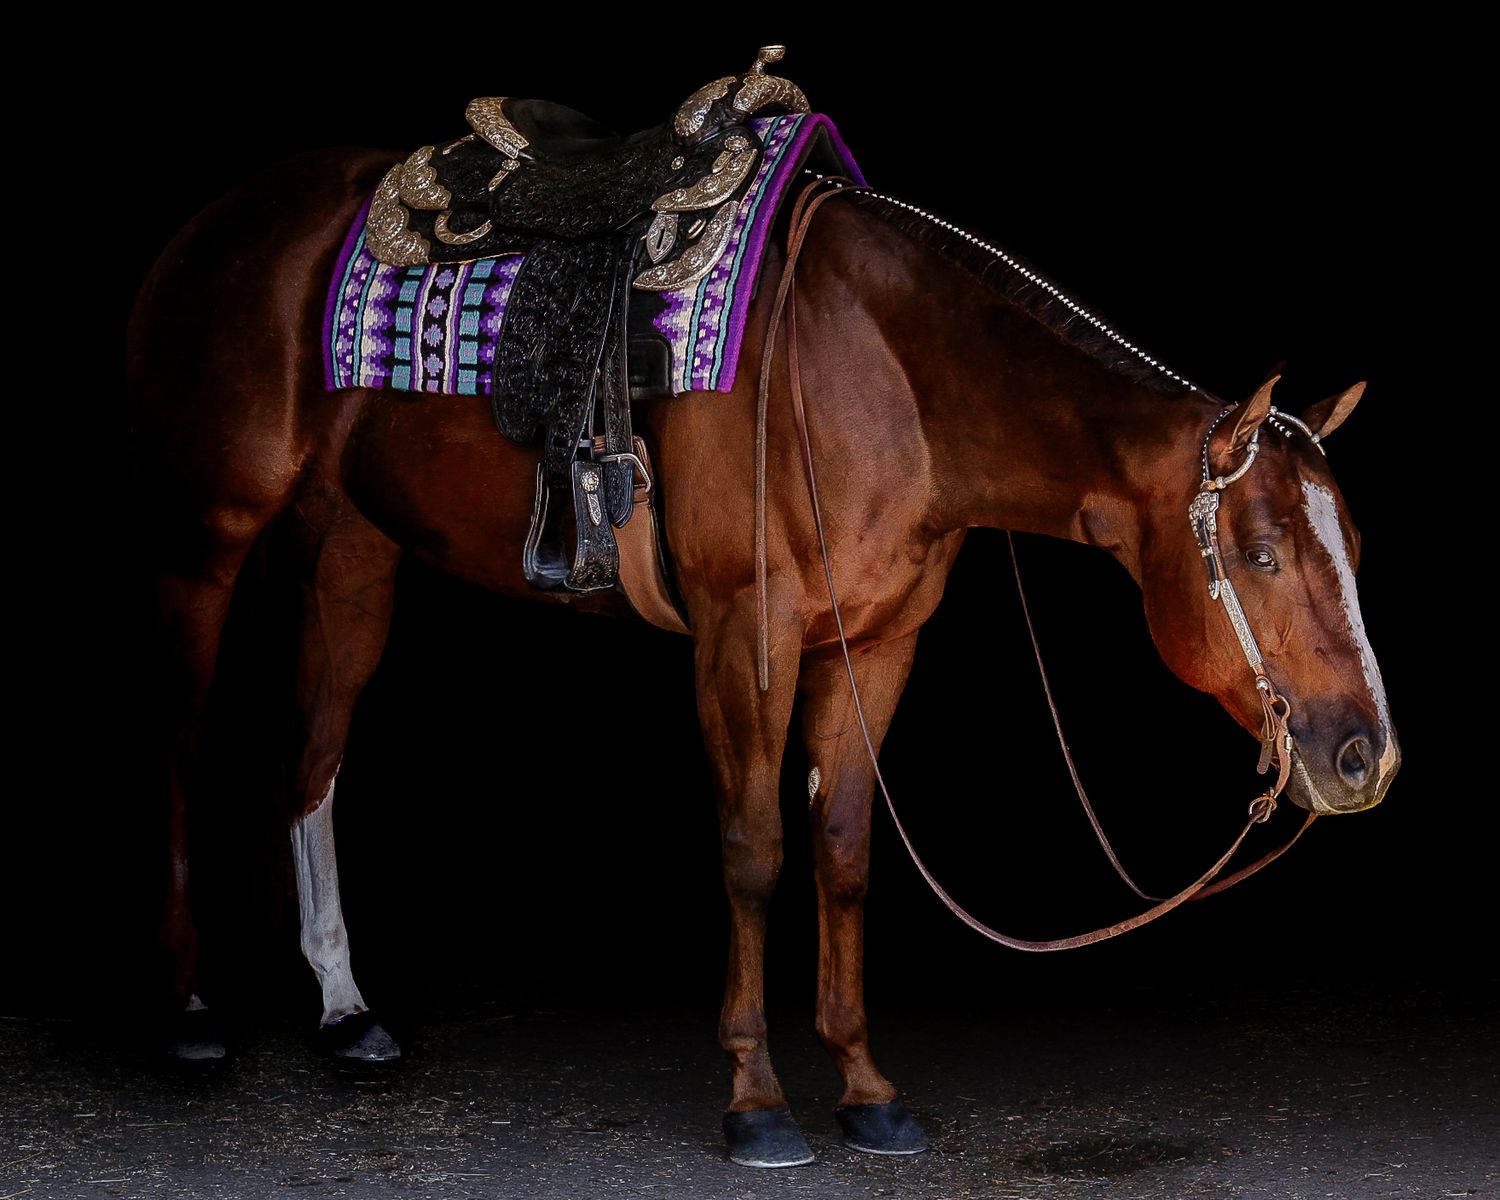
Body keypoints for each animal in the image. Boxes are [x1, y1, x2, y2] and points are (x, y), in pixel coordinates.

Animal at [127, 142, 1399, 1167]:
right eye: (1264, 551)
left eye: (1352, 549)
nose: (1363, 757)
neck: (883, 373)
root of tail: (213, 224)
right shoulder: (747, 636)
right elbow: (752, 852)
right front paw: (755, 1102)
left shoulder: (877, 643)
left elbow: (841, 851)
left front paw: (868, 1090)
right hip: (207, 533)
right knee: (182, 745)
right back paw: (188, 1014)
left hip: (349, 553)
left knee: (311, 758)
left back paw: (344, 1012)